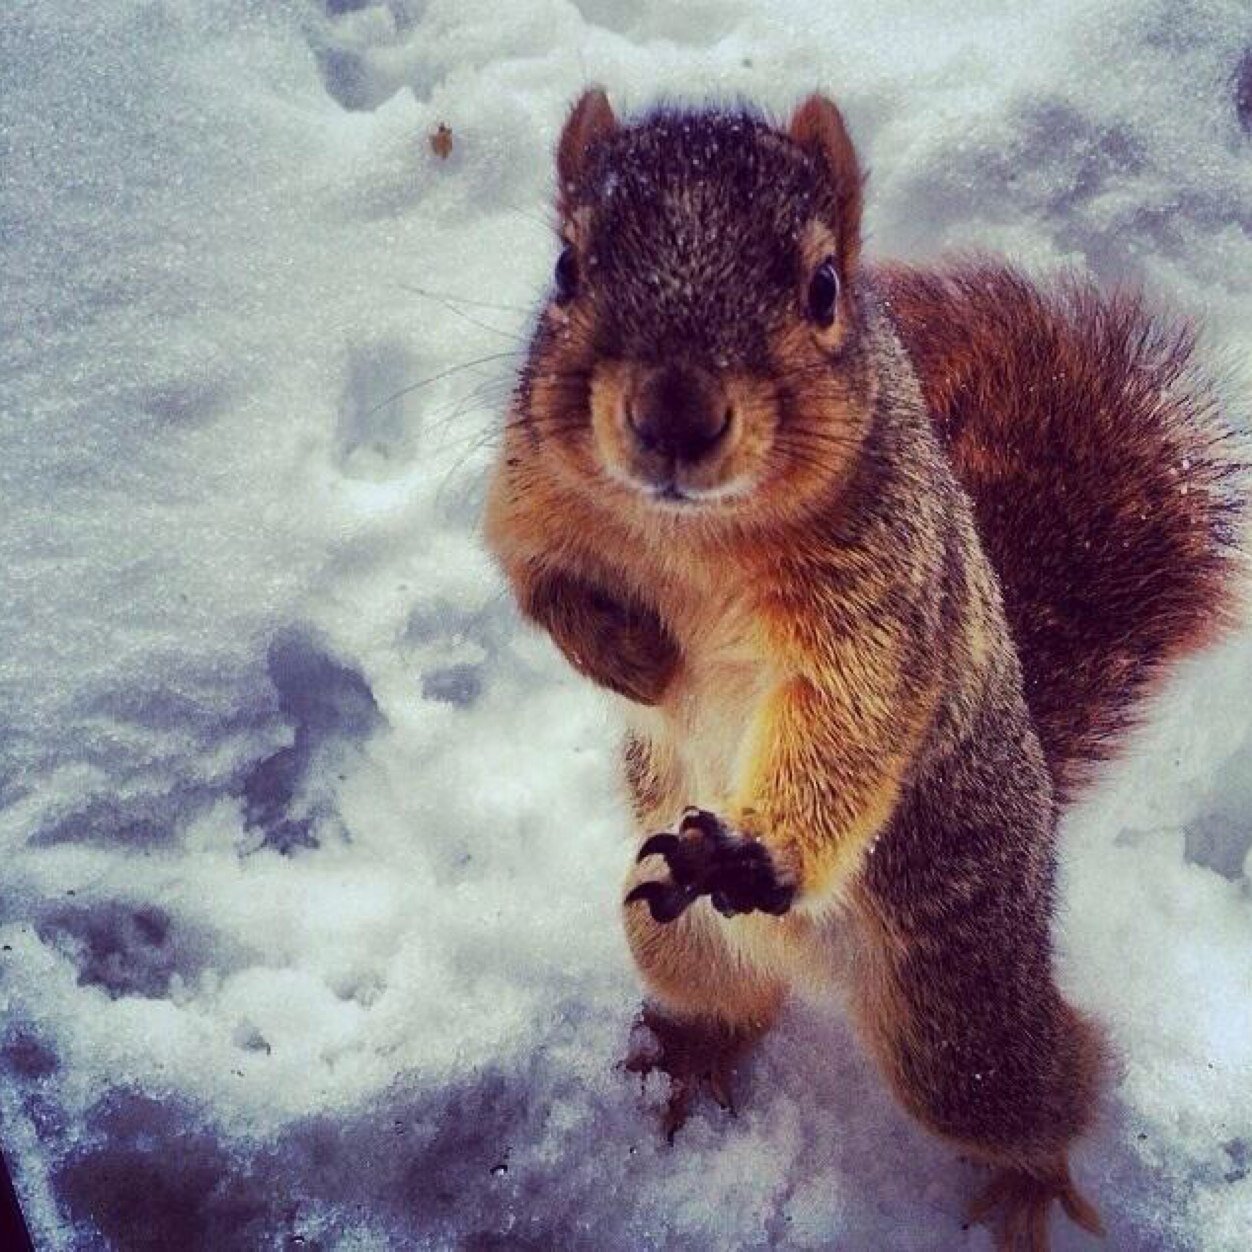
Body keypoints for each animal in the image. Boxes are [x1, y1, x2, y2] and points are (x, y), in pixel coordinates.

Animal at [483, 88, 1243, 1249]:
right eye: (567, 268)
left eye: (823, 286)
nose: (673, 418)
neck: (693, 538)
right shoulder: (526, 495)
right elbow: (540, 585)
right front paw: (632, 656)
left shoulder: (882, 605)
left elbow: (848, 716)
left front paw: (755, 850)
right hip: (670, 936)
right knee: (725, 1001)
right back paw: (685, 1057)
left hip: (956, 1015)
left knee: (1049, 1081)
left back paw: (1028, 1187)